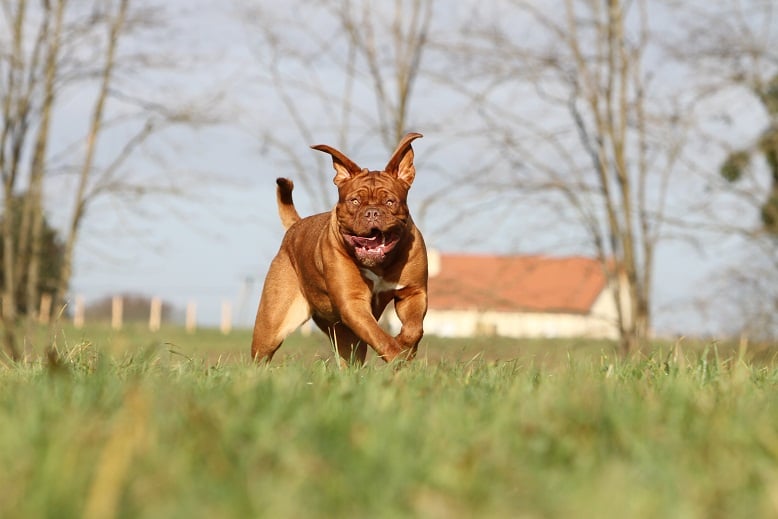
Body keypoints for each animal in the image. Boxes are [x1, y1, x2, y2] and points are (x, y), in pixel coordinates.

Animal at [251, 132, 428, 365]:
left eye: (390, 201)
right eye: (355, 201)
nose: (372, 212)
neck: (379, 265)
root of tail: (295, 226)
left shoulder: (413, 291)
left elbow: (414, 328)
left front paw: (406, 348)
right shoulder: (352, 304)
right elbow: (380, 338)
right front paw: (397, 357)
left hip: (344, 334)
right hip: (272, 324)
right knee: (261, 355)